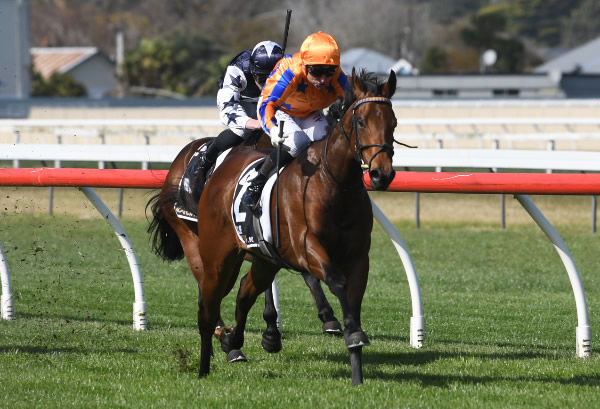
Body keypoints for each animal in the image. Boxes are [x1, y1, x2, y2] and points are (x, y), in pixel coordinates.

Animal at [147, 68, 396, 384]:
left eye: (393, 123)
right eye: (361, 122)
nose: (381, 174)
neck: (332, 183)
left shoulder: (357, 257)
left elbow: (348, 292)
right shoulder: (304, 246)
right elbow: (332, 280)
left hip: (254, 258)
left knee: (242, 291)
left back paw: (232, 342)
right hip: (201, 245)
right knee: (208, 293)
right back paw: (216, 350)